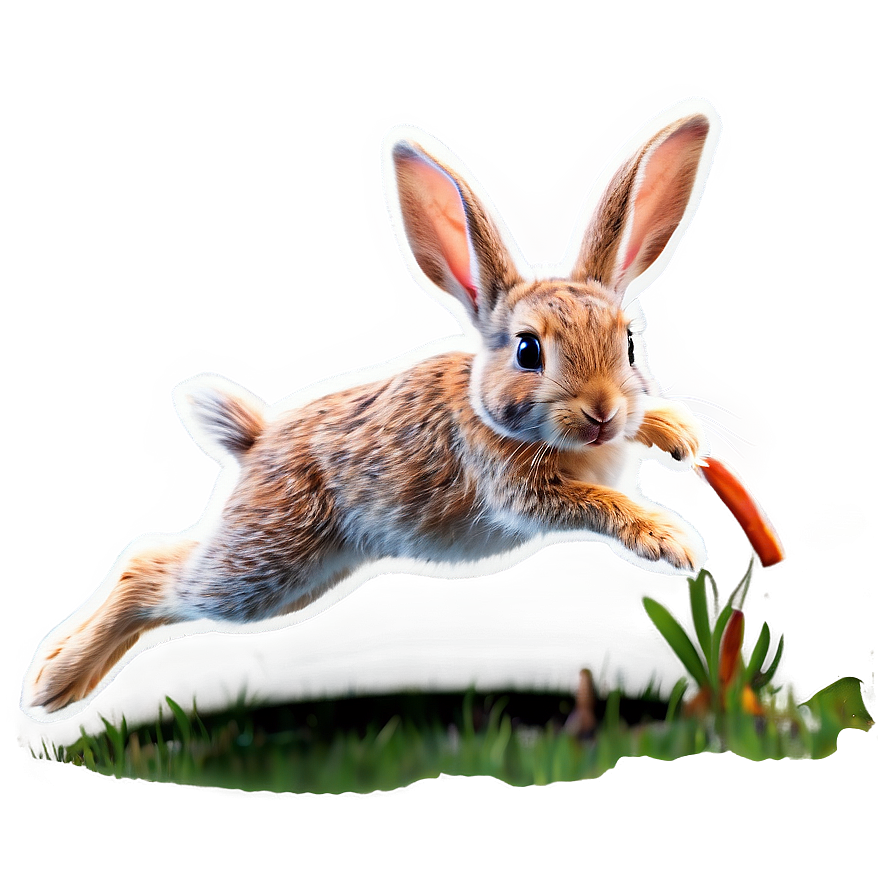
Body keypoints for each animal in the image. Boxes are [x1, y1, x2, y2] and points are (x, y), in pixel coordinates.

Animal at [23, 98, 719, 717]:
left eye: (629, 344)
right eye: (528, 351)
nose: (601, 412)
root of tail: (256, 439)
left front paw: (679, 434)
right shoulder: (521, 490)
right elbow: (596, 503)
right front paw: (673, 540)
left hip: (299, 580)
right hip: (260, 565)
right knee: (147, 572)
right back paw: (50, 684)